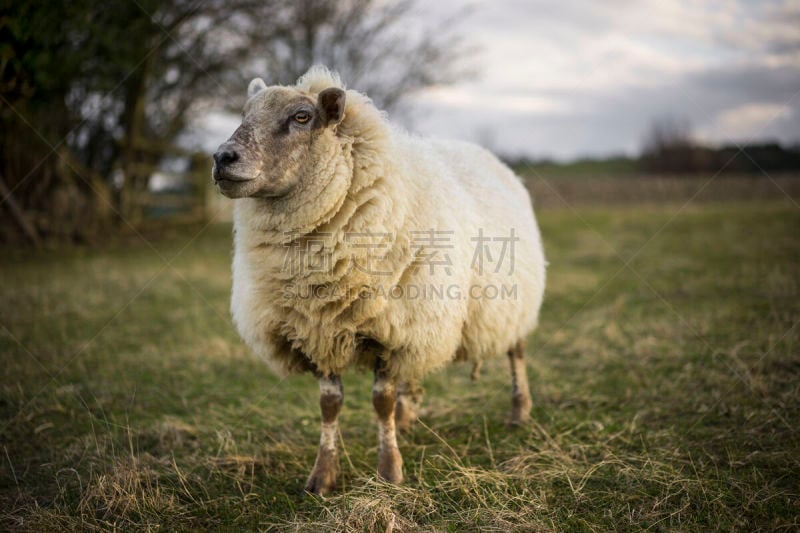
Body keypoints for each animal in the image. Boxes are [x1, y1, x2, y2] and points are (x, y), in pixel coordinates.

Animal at [212, 65, 548, 494]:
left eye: (301, 117)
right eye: (244, 113)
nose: (222, 157)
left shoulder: (393, 331)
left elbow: (380, 401)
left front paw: (389, 472)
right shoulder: (318, 328)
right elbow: (329, 404)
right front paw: (322, 477)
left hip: (511, 300)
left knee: (516, 352)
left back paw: (519, 410)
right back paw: (406, 417)